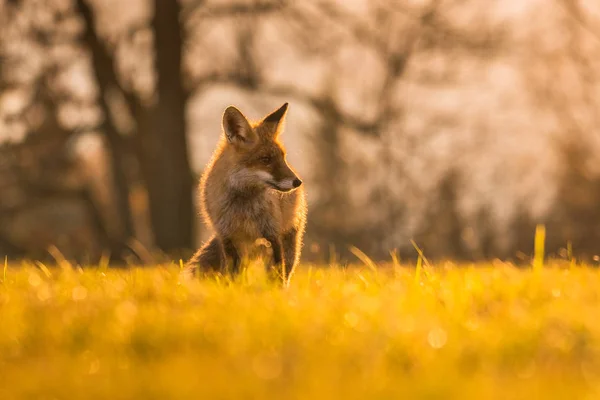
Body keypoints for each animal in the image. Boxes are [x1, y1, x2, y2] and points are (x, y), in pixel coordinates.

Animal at [185, 102, 308, 284]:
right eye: (266, 159)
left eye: (283, 158)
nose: (297, 182)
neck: (243, 208)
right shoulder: (227, 237)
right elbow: (232, 275)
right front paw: (233, 289)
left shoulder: (272, 235)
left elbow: (275, 276)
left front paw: (275, 291)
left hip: (289, 244)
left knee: (285, 271)